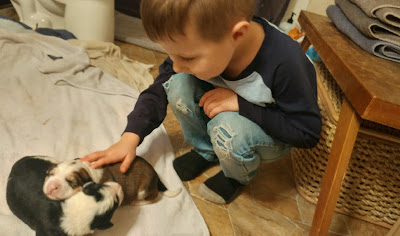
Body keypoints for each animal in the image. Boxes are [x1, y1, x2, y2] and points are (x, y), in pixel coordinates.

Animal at [43, 156, 181, 206]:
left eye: (72, 182)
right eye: (51, 174)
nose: (51, 188)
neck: (88, 169)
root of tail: (155, 173)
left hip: (143, 190)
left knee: (154, 196)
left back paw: (136, 202)